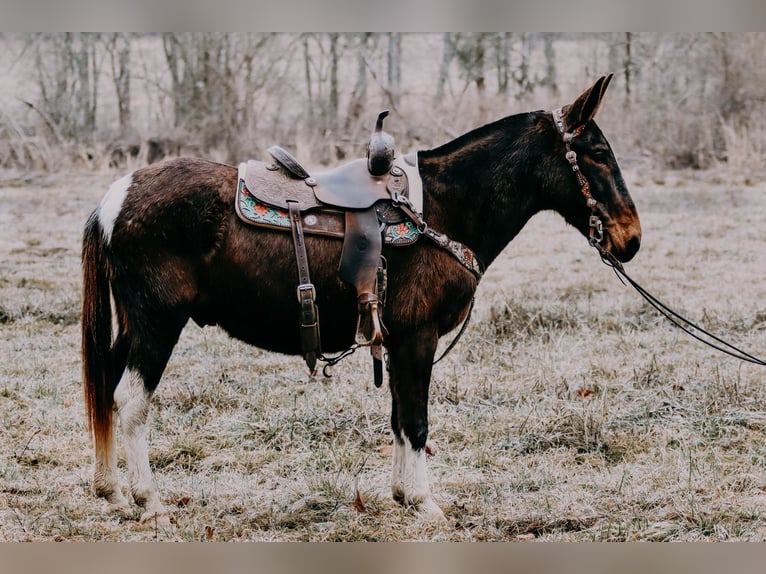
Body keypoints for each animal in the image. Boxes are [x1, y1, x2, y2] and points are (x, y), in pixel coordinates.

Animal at [81, 74, 640, 524]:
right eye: (597, 154)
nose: (631, 239)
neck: (443, 209)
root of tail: (115, 198)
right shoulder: (417, 339)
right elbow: (415, 419)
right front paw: (424, 503)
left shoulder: (395, 343)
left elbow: (398, 417)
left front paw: (402, 495)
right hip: (158, 325)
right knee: (131, 402)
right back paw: (148, 500)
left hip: (133, 325)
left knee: (105, 390)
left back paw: (111, 490)